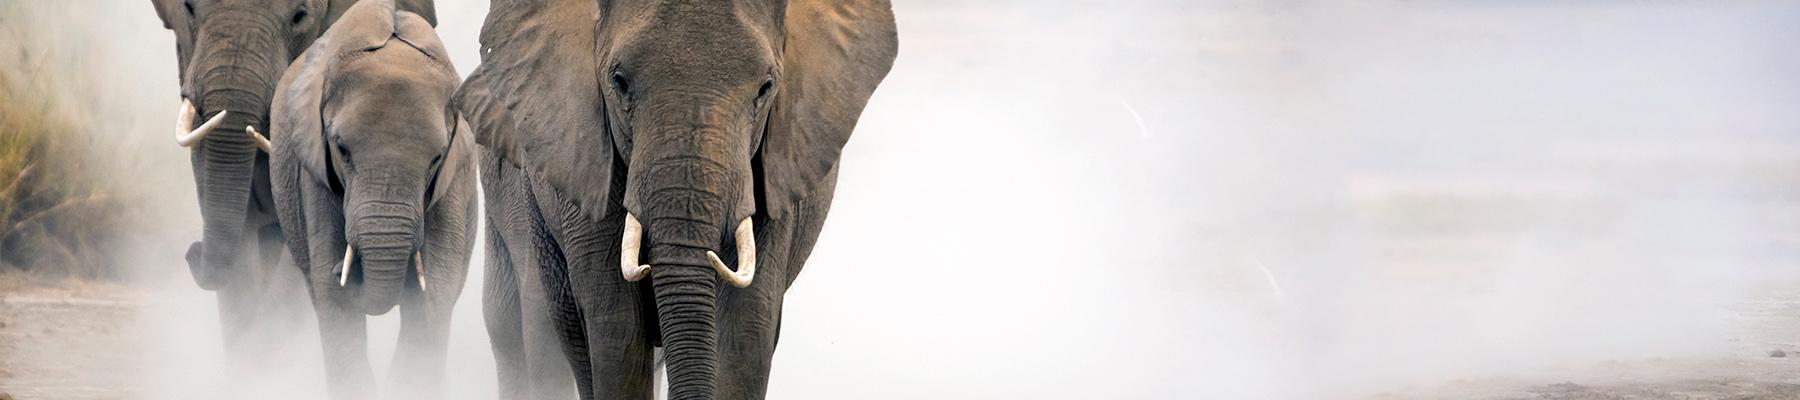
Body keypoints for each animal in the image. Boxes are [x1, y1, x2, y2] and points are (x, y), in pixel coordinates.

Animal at [257, 0, 478, 396]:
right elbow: (333, 299)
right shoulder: (315, 174)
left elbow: (434, 292)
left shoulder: (452, 183)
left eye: (436, 158)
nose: (343, 266)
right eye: (341, 149)